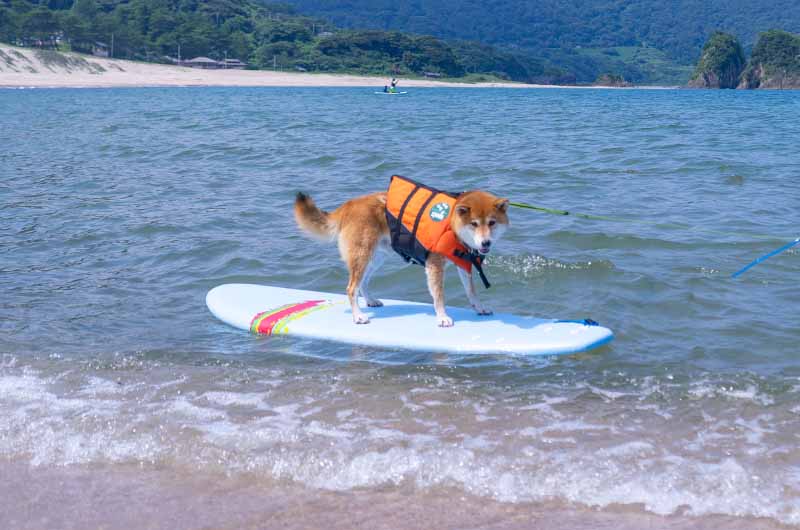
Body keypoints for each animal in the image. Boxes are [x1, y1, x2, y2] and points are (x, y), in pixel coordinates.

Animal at [292, 175, 506, 324]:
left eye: (492, 223)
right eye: (474, 224)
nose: (486, 243)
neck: (452, 225)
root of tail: (349, 205)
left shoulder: (463, 263)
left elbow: (471, 291)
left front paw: (480, 308)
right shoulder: (435, 265)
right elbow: (439, 295)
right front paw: (442, 317)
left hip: (376, 257)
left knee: (363, 282)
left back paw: (370, 300)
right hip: (362, 254)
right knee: (351, 288)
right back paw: (358, 316)